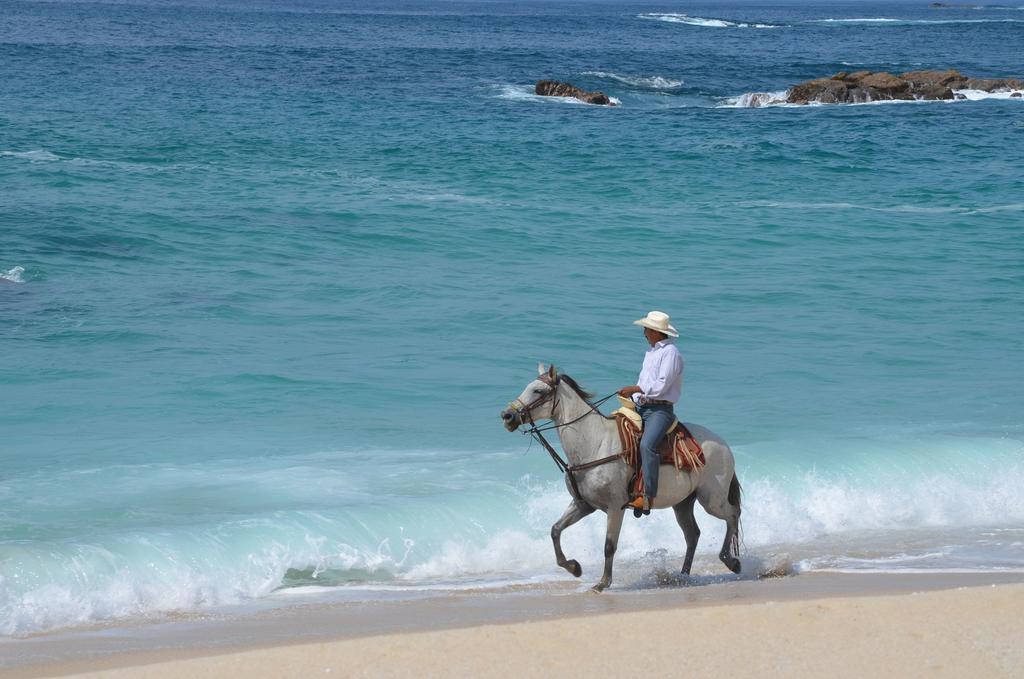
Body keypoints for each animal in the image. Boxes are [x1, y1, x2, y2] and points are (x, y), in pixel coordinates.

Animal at [499, 364, 741, 593]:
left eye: (538, 390)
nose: (507, 416)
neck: (594, 444)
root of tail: (724, 445)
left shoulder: (615, 507)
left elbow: (609, 545)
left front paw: (602, 583)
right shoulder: (583, 504)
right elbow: (555, 530)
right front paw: (574, 568)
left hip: (711, 500)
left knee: (732, 515)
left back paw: (731, 561)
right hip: (682, 503)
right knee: (693, 535)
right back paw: (683, 576)